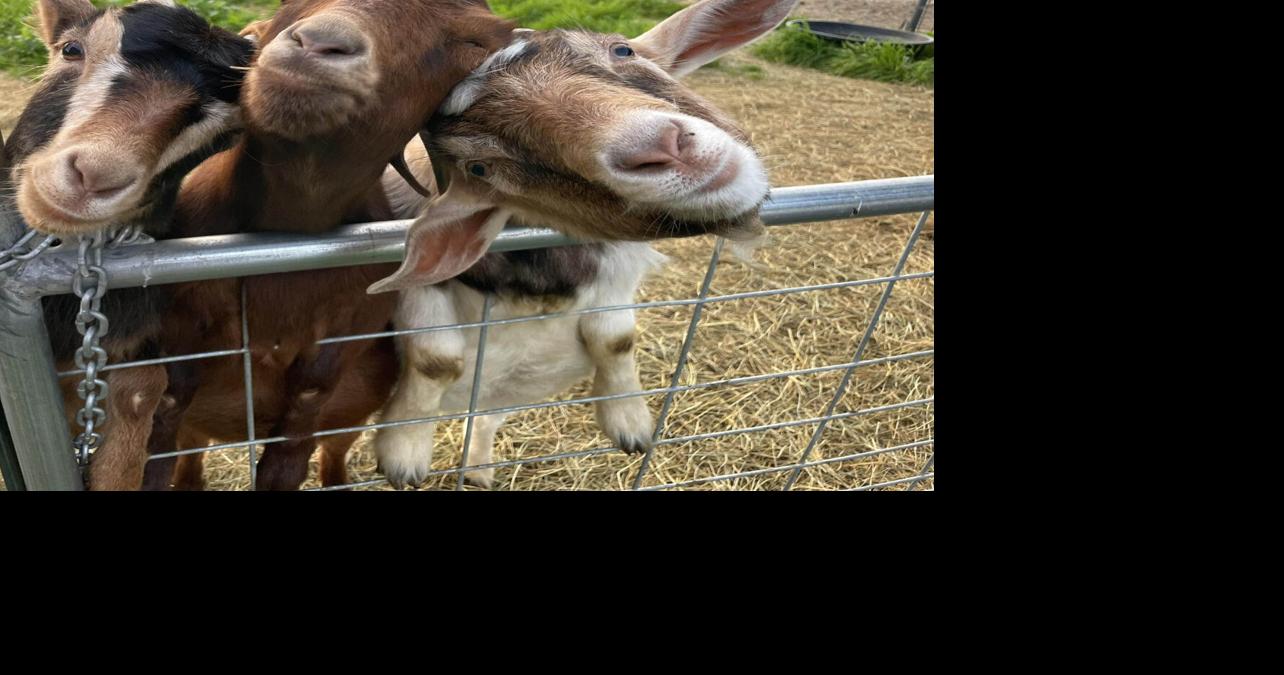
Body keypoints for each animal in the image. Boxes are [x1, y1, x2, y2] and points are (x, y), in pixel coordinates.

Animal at [368, 0, 798, 488]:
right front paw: (403, 451)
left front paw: (629, 422)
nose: (664, 150)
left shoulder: (615, 270)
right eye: (480, 167)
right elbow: (436, 357)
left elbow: (614, 338)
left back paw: (476, 467)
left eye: (623, 49)